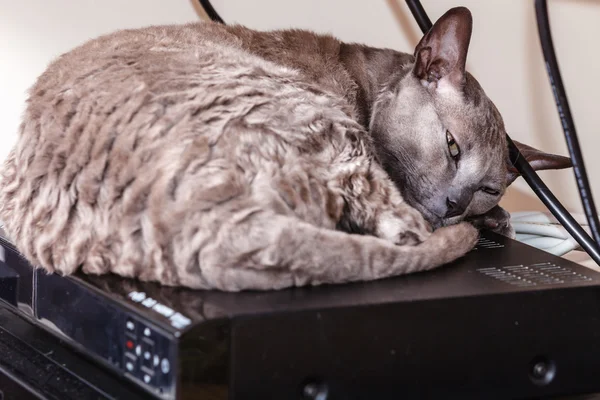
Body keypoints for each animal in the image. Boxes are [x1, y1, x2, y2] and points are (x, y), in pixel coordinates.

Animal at [0, 7, 572, 290]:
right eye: (452, 147)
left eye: (488, 186)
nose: (458, 204)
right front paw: (494, 221)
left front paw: (496, 216)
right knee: (404, 228)